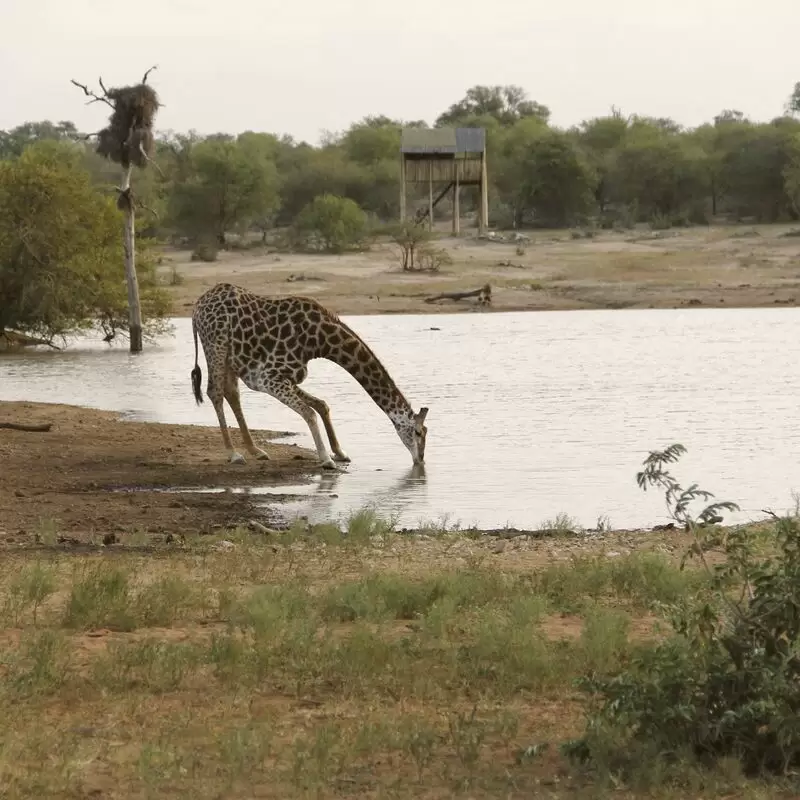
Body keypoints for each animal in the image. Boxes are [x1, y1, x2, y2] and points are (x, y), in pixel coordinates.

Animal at [191, 282, 428, 468]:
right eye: (418, 433)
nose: (421, 460)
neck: (319, 340)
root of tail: (197, 306)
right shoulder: (268, 377)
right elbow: (309, 412)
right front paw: (326, 459)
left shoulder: (285, 376)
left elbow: (321, 405)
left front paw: (339, 452)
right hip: (216, 344)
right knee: (215, 392)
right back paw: (234, 454)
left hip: (229, 355)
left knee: (231, 392)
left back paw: (255, 450)